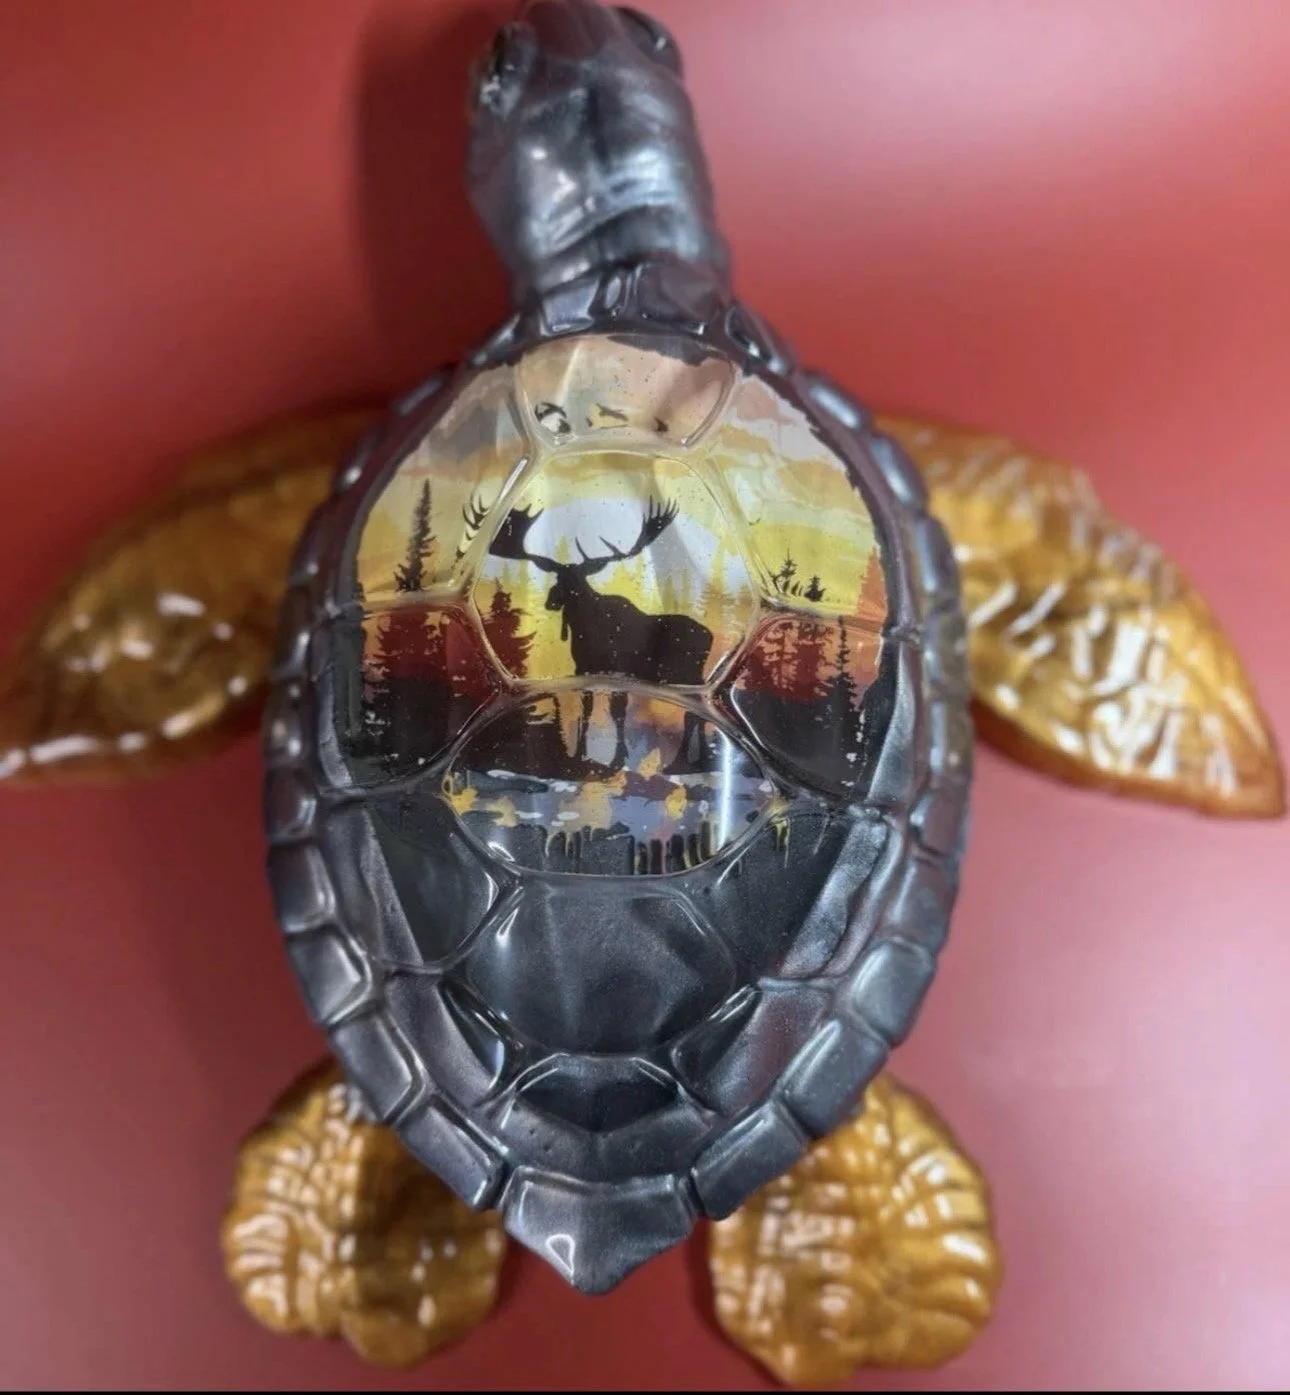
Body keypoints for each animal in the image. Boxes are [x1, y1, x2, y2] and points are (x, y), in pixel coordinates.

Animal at [477, 496, 714, 772]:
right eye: (557, 577)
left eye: (577, 580)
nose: (551, 601)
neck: (587, 628)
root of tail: (710, 636)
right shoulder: (583, 668)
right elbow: (587, 709)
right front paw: (581, 753)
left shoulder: (618, 670)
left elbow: (618, 712)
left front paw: (618, 758)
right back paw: (695, 758)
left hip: (687, 673)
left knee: (694, 712)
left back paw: (689, 760)